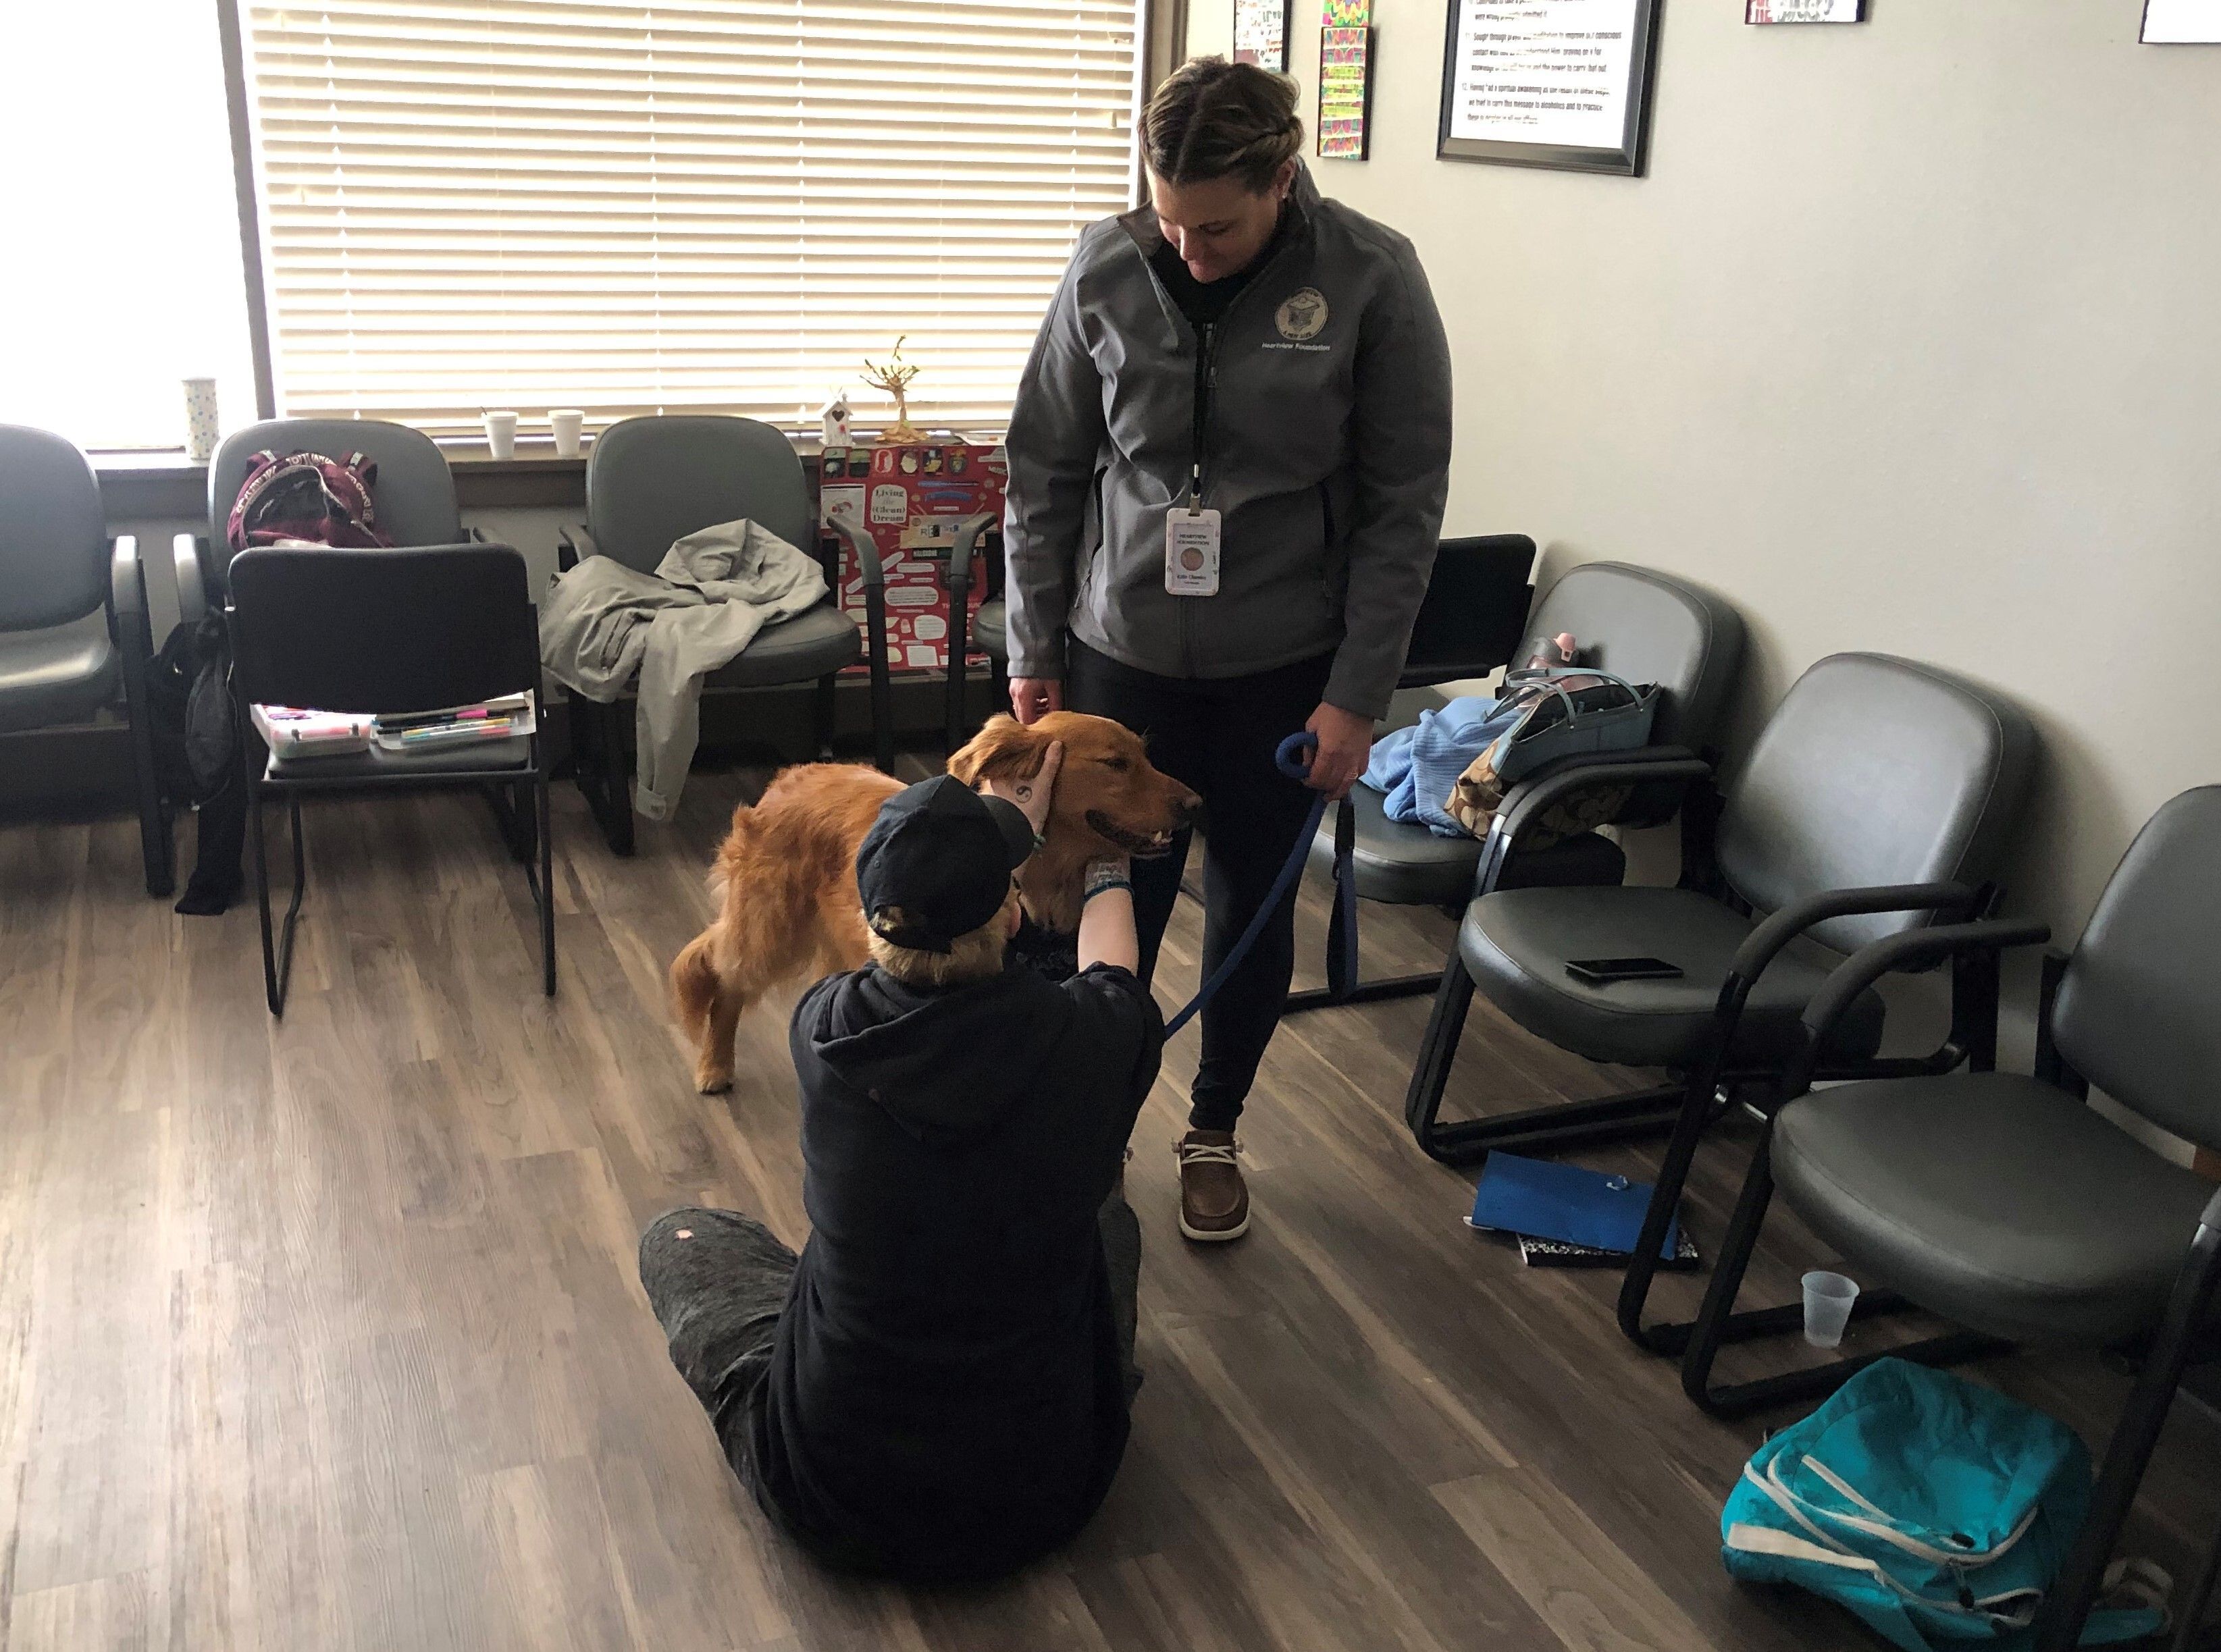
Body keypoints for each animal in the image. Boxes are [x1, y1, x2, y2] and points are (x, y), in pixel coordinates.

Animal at [671, 715, 1199, 1092]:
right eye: (1115, 764)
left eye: (1145, 756)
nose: (1197, 805)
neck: (1039, 884)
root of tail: (792, 775)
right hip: (770, 929)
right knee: (725, 980)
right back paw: (714, 1065)